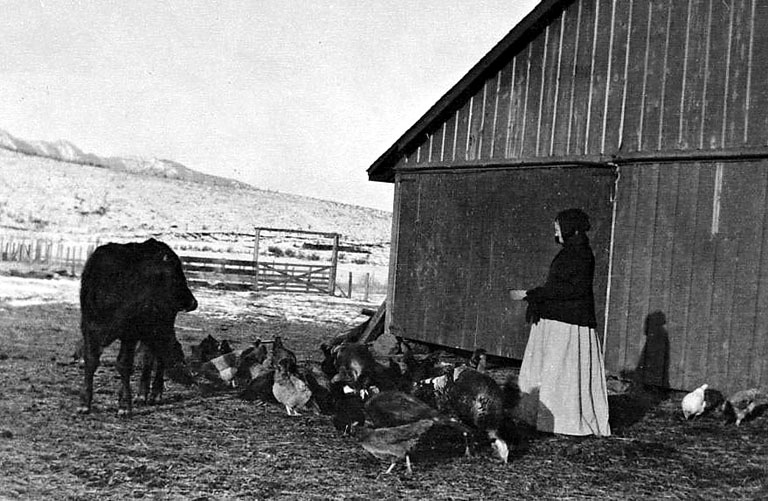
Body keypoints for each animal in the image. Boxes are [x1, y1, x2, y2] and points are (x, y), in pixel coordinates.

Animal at [77, 238, 198, 414]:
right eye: (175, 278)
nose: (192, 303)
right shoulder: (89, 328)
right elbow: (91, 361)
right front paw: (84, 403)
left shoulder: (130, 333)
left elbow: (124, 364)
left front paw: (124, 405)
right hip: (151, 328)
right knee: (151, 355)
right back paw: (143, 394)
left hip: (163, 323)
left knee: (162, 352)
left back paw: (155, 394)